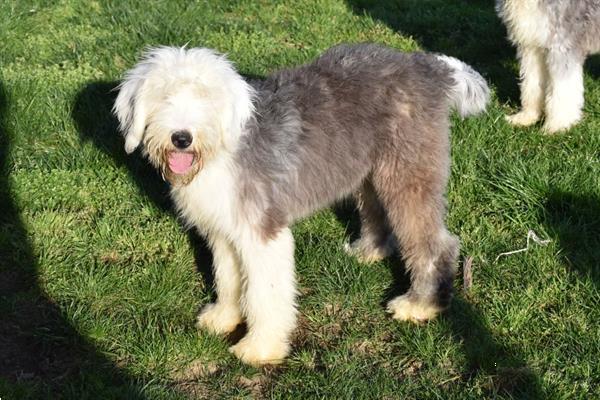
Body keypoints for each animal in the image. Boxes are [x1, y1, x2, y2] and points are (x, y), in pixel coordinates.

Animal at [111, 44, 488, 366]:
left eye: (206, 98)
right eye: (163, 96)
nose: (182, 138)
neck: (223, 149)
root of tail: (426, 66)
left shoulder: (263, 233)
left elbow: (265, 294)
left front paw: (260, 347)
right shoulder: (224, 231)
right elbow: (228, 276)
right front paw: (224, 317)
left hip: (409, 174)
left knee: (436, 243)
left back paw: (420, 305)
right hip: (368, 171)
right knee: (376, 213)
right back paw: (368, 251)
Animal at [496, 0, 600, 134]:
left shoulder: (561, 48)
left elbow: (562, 89)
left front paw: (556, 126)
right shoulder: (532, 48)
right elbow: (531, 84)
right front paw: (527, 117)